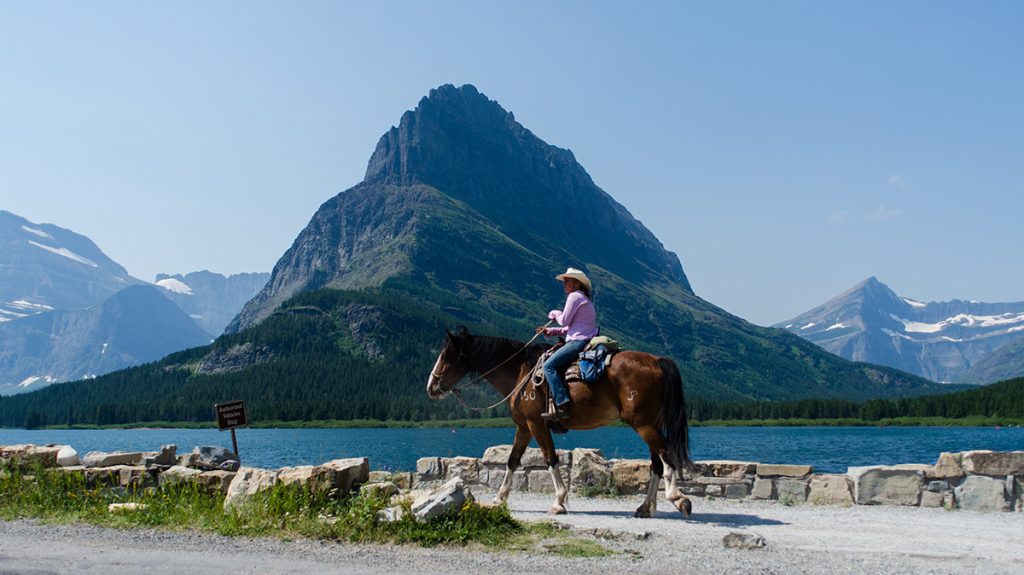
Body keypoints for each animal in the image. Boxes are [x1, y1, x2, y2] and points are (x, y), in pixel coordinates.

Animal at [423, 327, 696, 515]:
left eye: (447, 355)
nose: (431, 387)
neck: (521, 374)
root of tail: (656, 360)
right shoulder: (523, 427)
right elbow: (512, 460)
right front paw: (500, 499)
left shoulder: (536, 424)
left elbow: (550, 459)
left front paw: (558, 502)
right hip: (649, 423)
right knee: (657, 463)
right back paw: (645, 507)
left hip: (643, 424)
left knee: (667, 454)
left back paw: (677, 497)